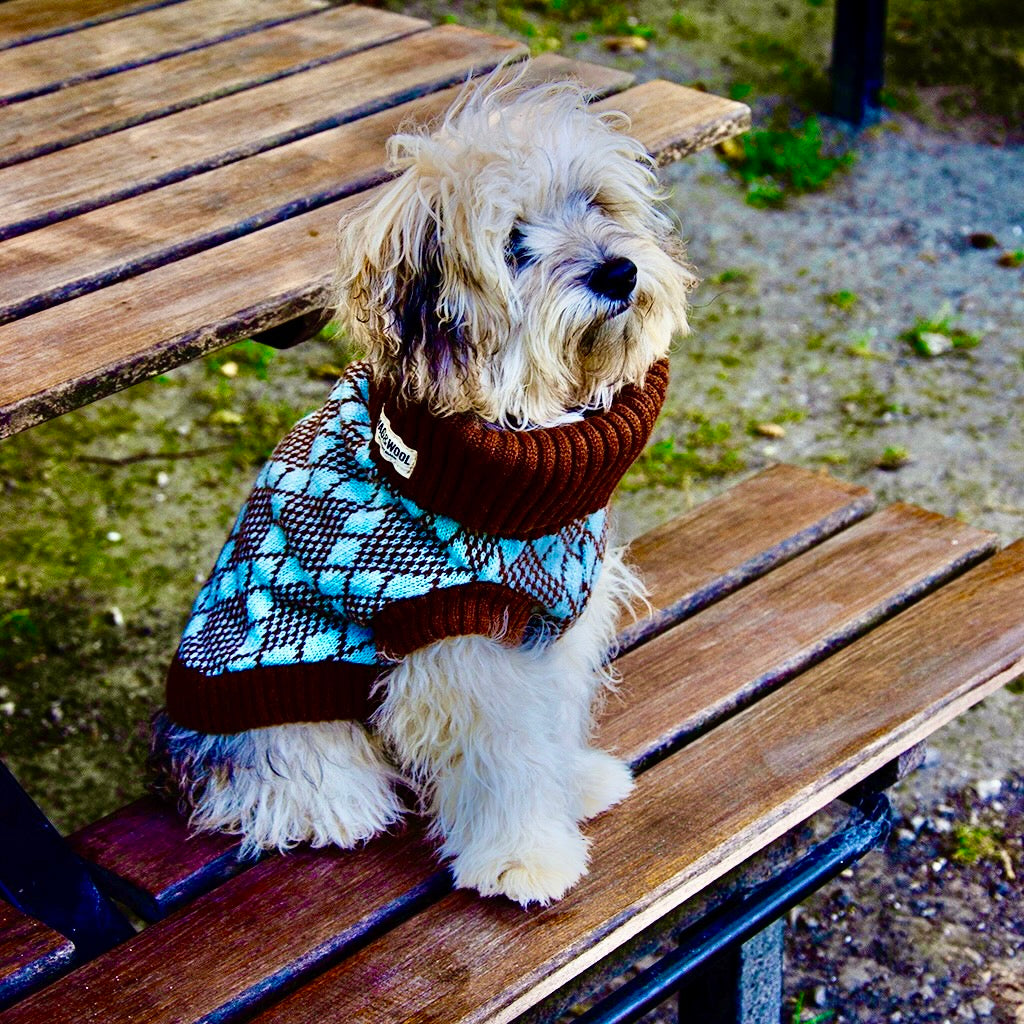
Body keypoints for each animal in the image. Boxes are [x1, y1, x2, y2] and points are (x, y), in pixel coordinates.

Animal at [151, 70, 696, 905]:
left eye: (597, 205)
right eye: (513, 244)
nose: (618, 271)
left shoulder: (552, 629)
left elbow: (550, 725)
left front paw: (572, 783)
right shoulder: (456, 641)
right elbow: (506, 757)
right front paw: (523, 856)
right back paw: (329, 810)